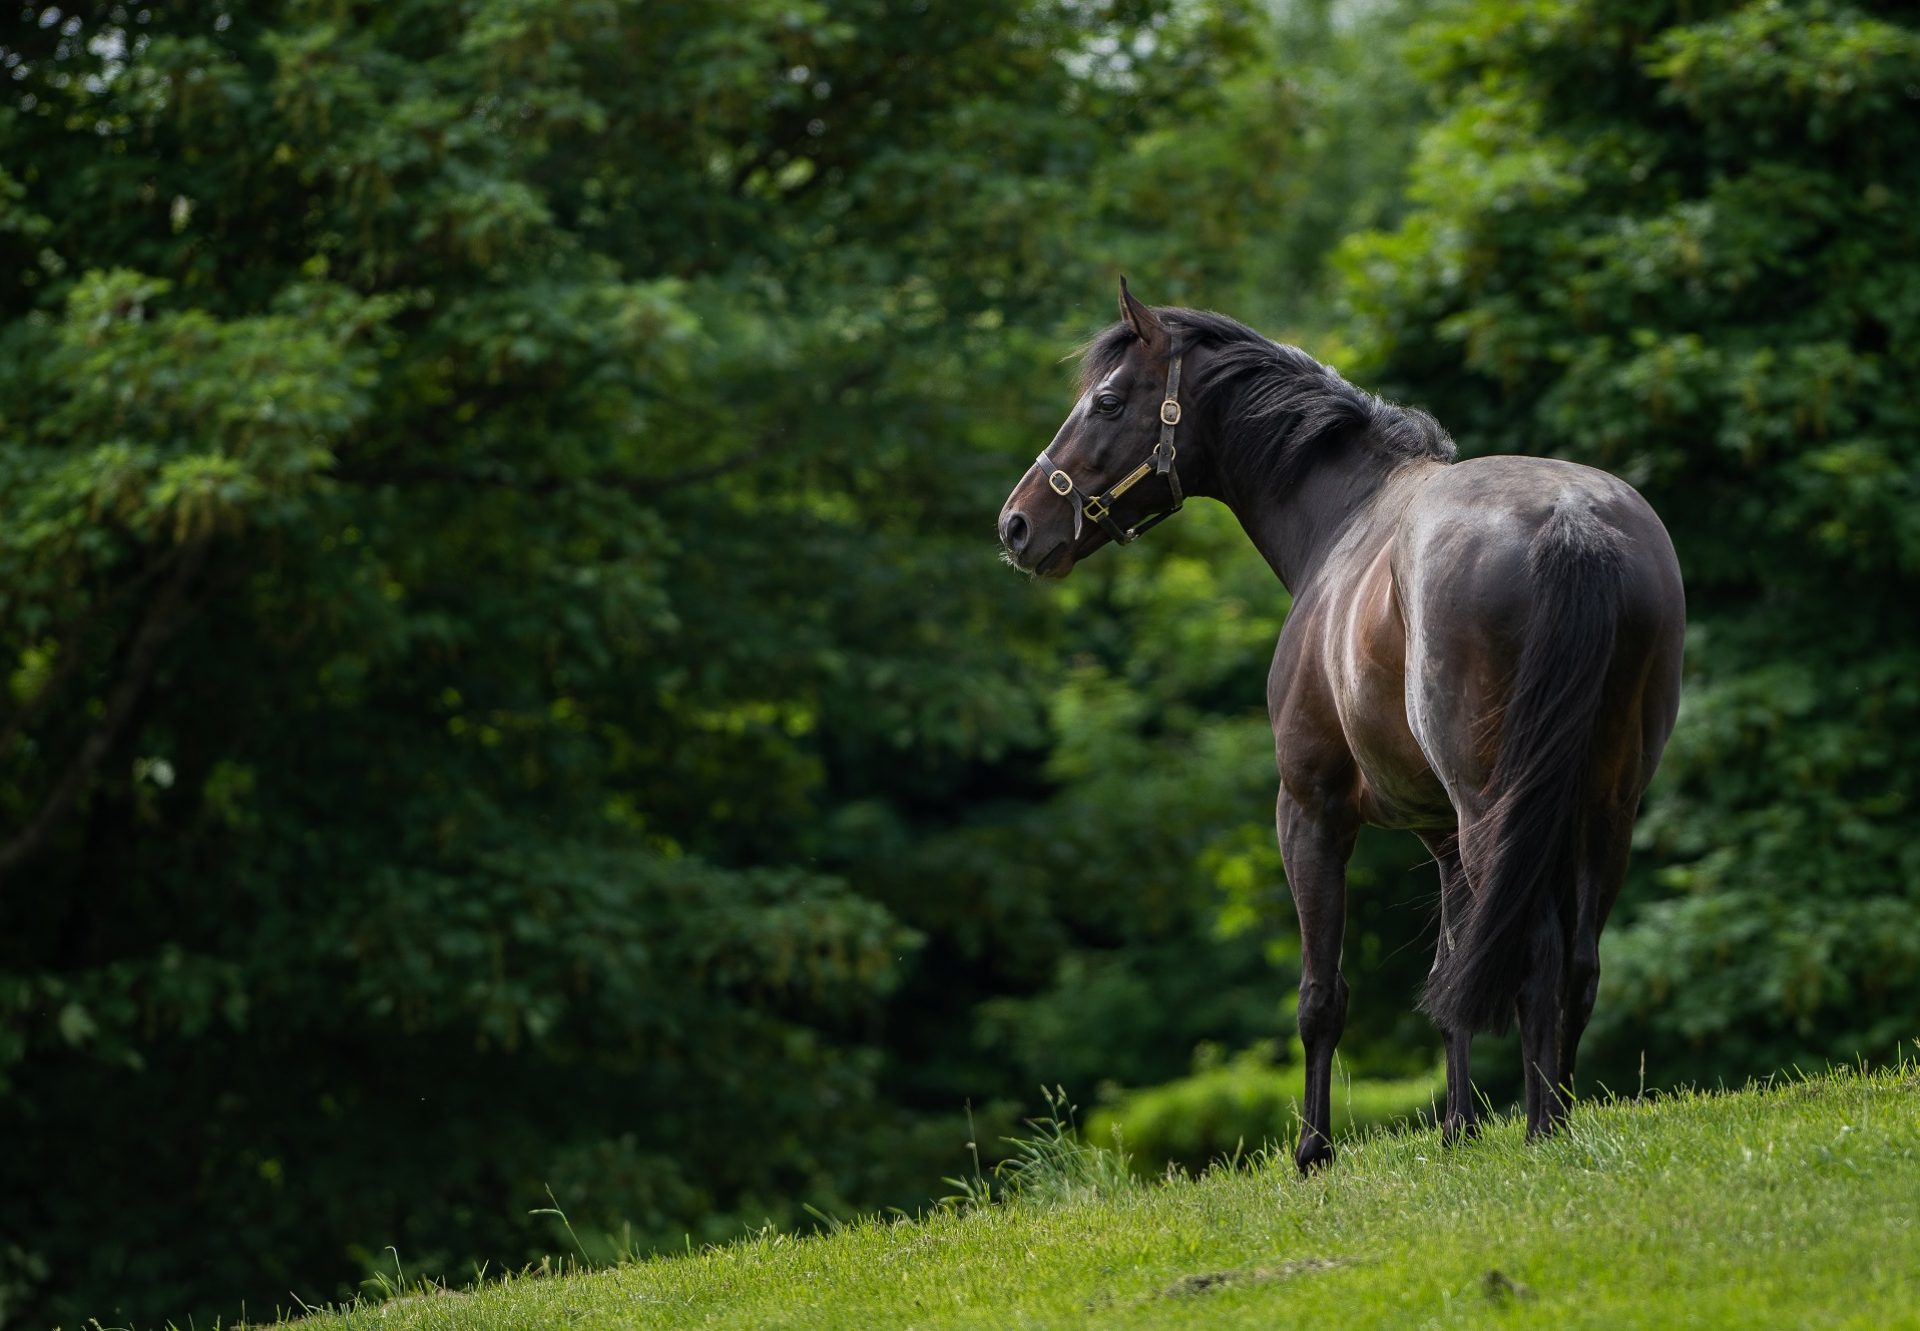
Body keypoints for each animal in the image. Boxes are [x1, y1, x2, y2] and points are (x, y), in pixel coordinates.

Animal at [998, 280, 1689, 1175]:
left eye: (1108, 400)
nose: (1016, 525)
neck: (1345, 516)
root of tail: (1572, 523)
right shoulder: (1440, 836)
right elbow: (1450, 975)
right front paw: (1458, 1131)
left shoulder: (1311, 810)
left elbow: (1322, 994)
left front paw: (1313, 1152)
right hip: (1605, 805)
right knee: (1575, 960)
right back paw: (1559, 1121)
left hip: (1495, 809)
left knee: (1536, 954)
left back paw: (1541, 1132)